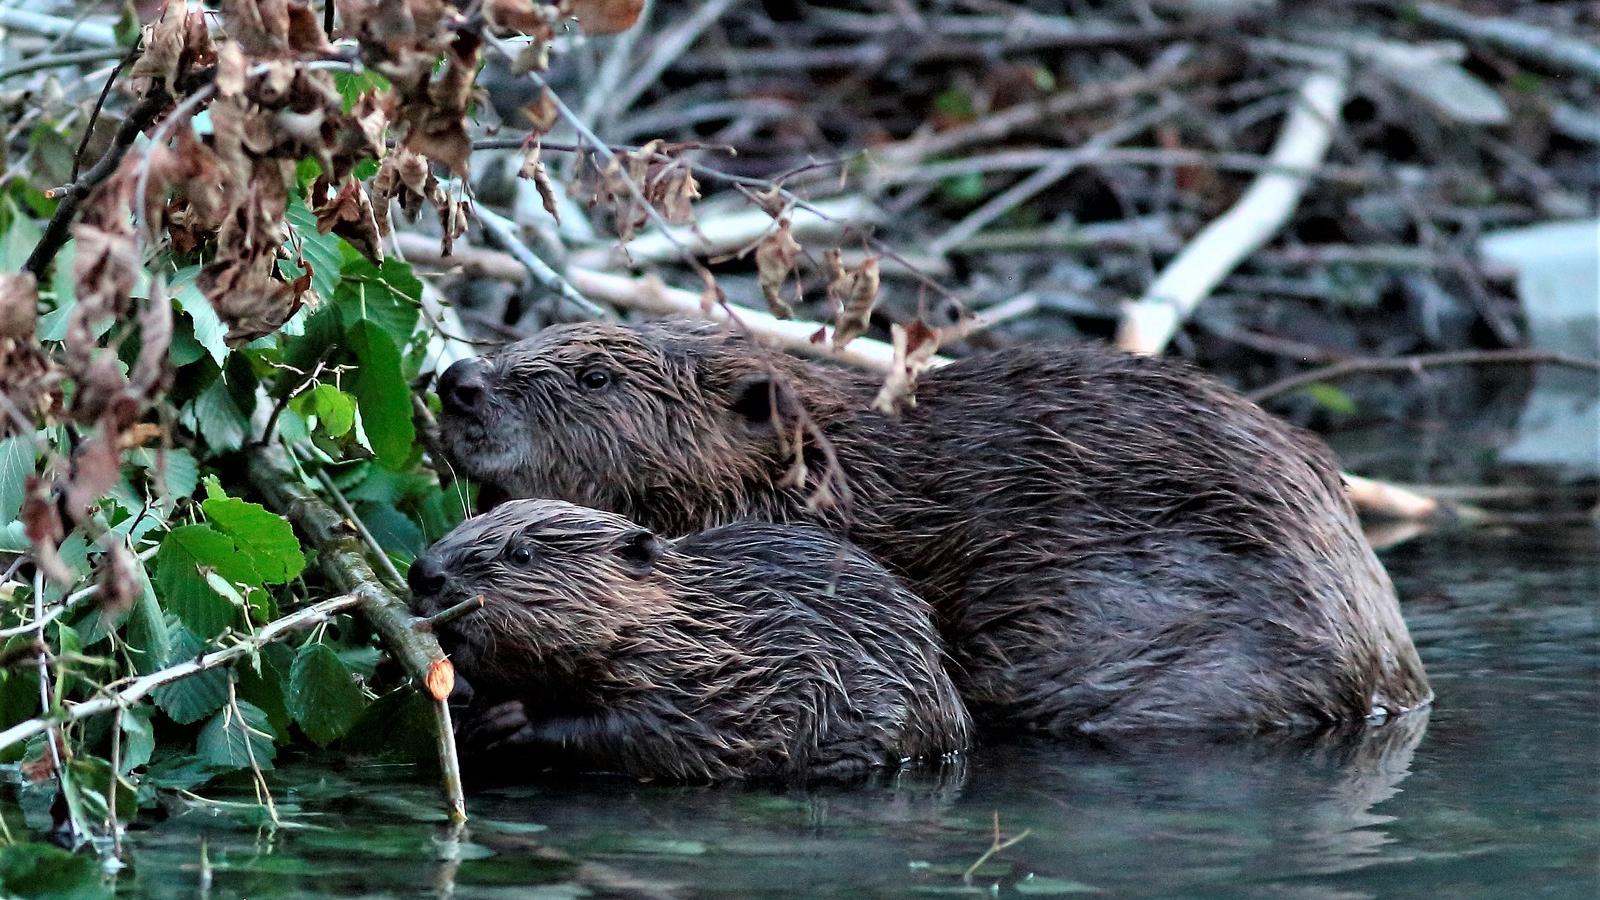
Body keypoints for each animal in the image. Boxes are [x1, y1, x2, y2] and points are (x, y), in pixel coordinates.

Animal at [406, 493, 966, 781]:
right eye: (469, 520)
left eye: (521, 554)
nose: (423, 572)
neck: (697, 621)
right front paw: (465, 702)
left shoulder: (722, 683)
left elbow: (658, 733)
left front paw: (509, 721)